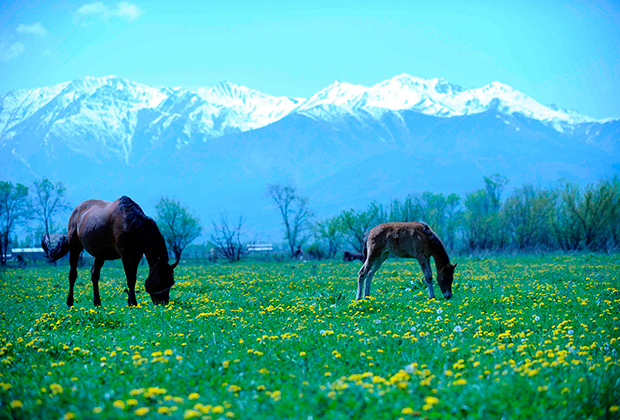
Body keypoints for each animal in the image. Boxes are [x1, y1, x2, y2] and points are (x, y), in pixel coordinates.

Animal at [41, 195, 177, 306]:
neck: (131, 223)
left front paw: (130, 301)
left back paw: (97, 303)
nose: (163, 303)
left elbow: (133, 277)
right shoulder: (125, 254)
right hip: (75, 247)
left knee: (94, 275)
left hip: (100, 254)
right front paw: (132, 302)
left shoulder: (137, 254)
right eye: (161, 280)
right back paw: (70, 303)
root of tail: (77, 210)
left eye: (171, 282)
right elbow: (130, 278)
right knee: (72, 275)